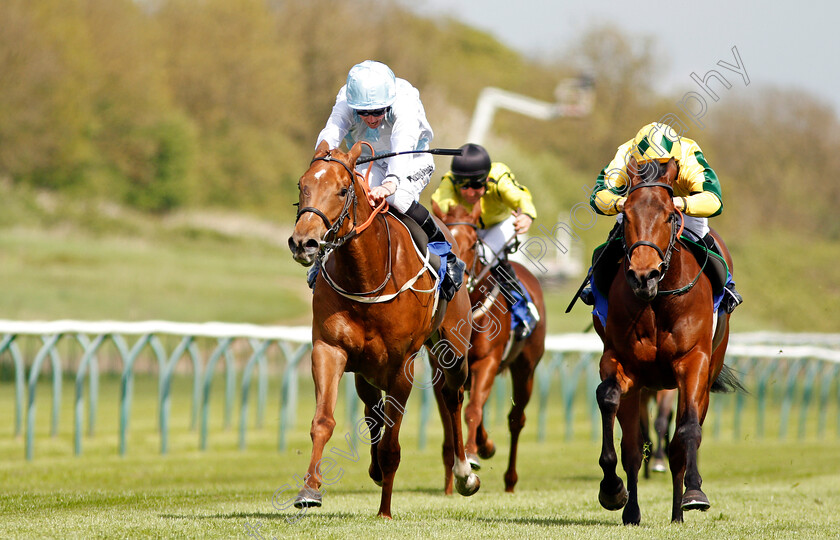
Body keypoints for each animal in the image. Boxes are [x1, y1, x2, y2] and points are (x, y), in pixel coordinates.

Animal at [288, 143, 480, 520]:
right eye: (302, 186)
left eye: (342, 190)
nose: (304, 243)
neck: (367, 275)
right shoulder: (329, 348)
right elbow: (324, 421)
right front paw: (310, 490)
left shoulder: (401, 366)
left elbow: (393, 444)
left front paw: (385, 511)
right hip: (366, 367)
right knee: (372, 408)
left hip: (452, 350)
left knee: (452, 397)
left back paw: (464, 473)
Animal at [434, 201, 544, 494]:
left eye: (473, 243)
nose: (457, 279)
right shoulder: (440, 369)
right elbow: (452, 419)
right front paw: (450, 484)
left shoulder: (488, 361)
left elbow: (472, 410)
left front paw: (472, 455)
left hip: (526, 368)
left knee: (516, 419)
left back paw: (509, 480)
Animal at [592, 155, 740, 524]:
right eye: (627, 215)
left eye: (670, 216)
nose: (643, 275)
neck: (656, 301)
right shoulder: (620, 362)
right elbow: (609, 400)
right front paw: (612, 489)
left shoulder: (693, 363)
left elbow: (686, 431)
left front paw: (694, 493)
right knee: (633, 447)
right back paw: (632, 511)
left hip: (705, 376)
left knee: (682, 441)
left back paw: (678, 510)